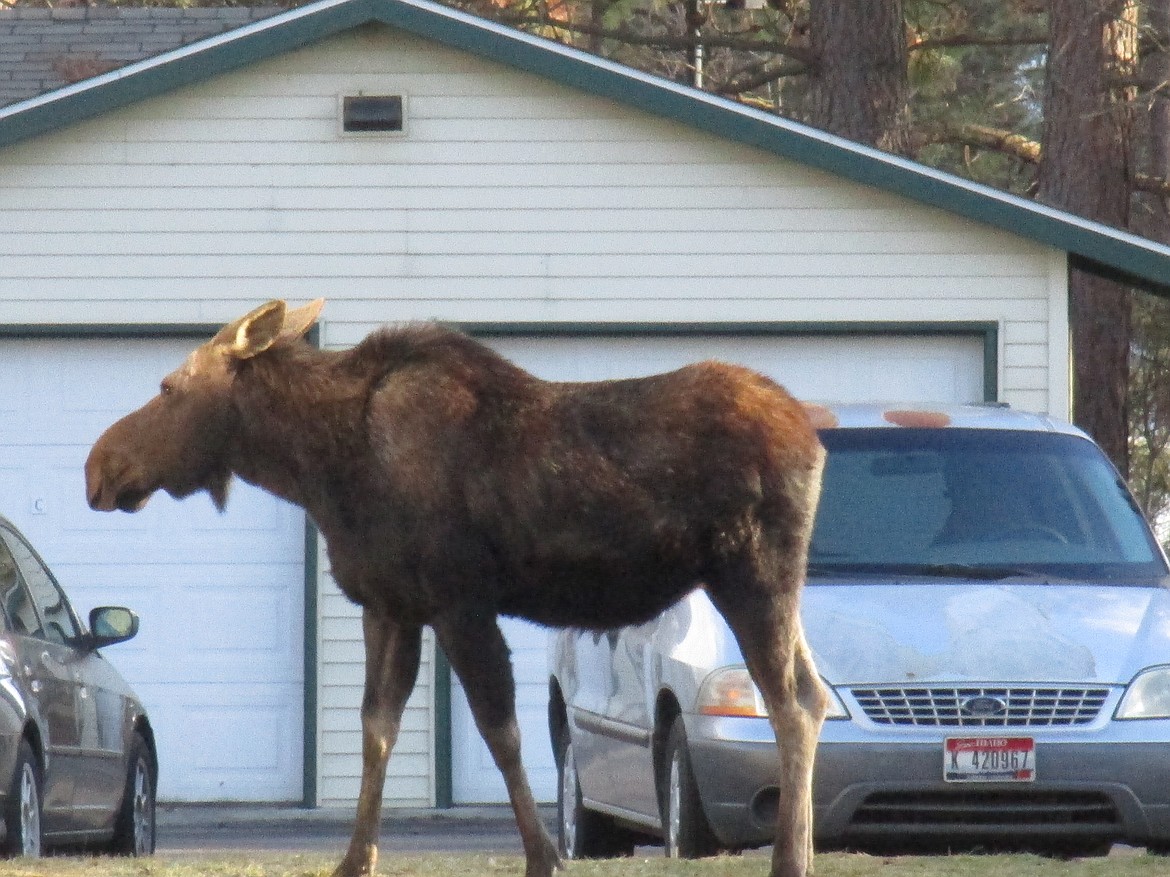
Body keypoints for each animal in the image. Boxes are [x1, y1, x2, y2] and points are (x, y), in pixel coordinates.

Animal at [86, 301, 828, 877]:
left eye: (168, 387)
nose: (99, 466)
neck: (318, 467)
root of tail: (811, 432)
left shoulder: (458, 601)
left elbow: (501, 731)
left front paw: (541, 855)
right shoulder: (389, 606)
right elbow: (375, 729)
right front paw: (356, 858)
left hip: (752, 573)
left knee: (790, 703)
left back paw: (790, 857)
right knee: (816, 695)